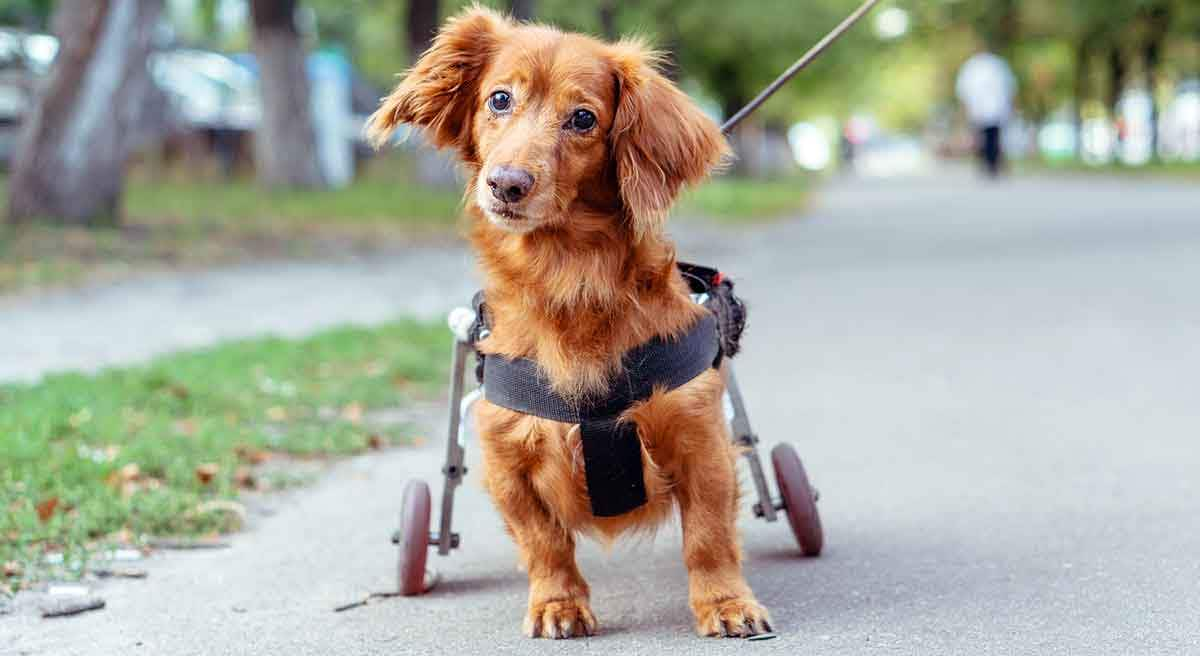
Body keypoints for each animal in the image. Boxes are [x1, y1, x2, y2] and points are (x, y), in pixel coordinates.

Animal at [367, 6, 777, 642]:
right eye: (499, 99)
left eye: (583, 117)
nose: (506, 184)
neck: (570, 282)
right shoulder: (506, 456)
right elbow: (544, 542)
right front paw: (558, 604)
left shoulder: (700, 440)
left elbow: (708, 537)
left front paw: (725, 602)